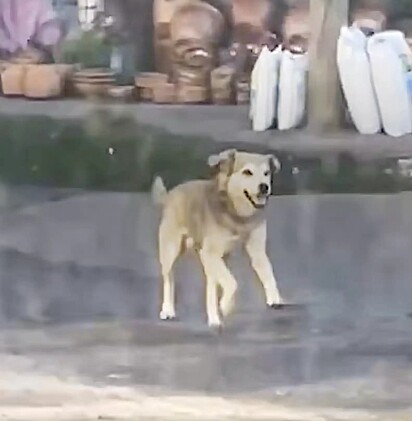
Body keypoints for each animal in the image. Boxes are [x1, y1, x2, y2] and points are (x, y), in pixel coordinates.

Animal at [151, 148, 284, 328]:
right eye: (247, 172)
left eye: (266, 173)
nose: (264, 187)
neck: (238, 217)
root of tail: (171, 194)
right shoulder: (210, 253)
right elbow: (233, 283)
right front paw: (226, 305)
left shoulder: (257, 250)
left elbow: (268, 273)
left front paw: (274, 298)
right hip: (172, 251)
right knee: (169, 280)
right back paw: (168, 310)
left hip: (214, 261)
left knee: (212, 286)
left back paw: (214, 318)